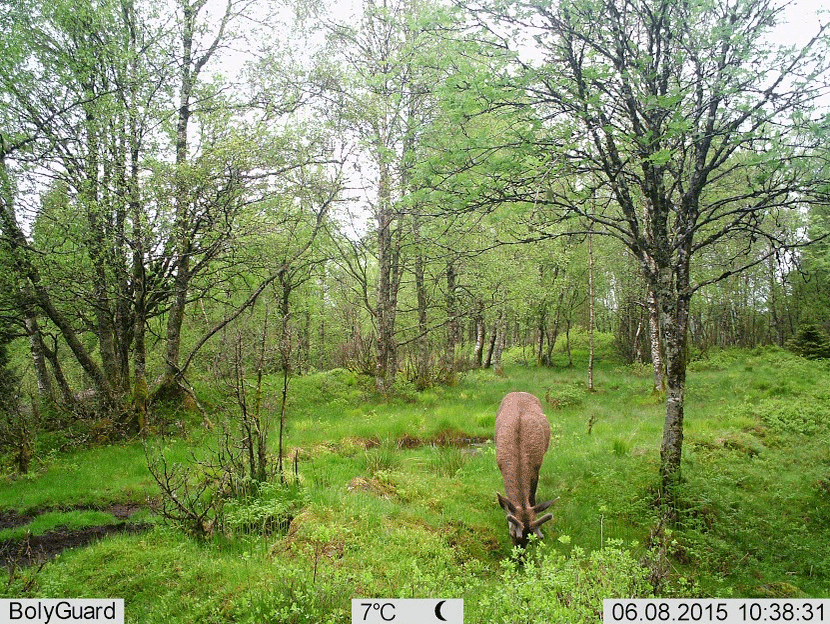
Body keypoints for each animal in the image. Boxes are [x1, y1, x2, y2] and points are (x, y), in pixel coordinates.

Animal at [494, 392, 560, 548]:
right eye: (511, 534)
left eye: (531, 537)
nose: (520, 554)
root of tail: (519, 392)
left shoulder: (536, 468)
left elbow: (532, 497)